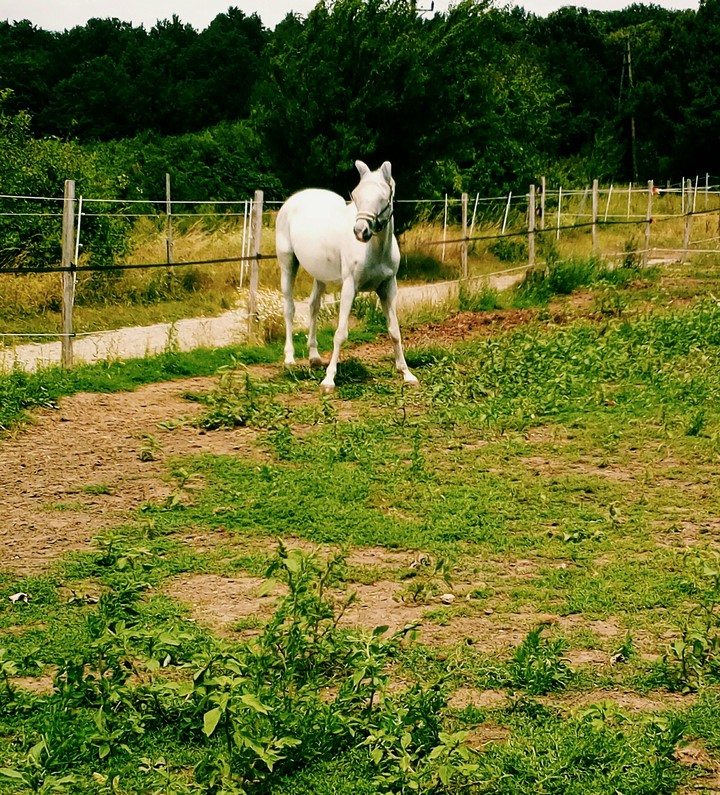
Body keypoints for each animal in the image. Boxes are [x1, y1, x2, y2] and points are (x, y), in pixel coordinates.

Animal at [275, 160, 418, 393]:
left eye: (383, 197)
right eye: (357, 195)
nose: (360, 231)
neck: (375, 250)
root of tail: (294, 199)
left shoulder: (388, 288)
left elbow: (394, 331)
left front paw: (406, 373)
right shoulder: (350, 287)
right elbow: (340, 333)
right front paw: (329, 380)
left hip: (320, 275)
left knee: (313, 306)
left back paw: (314, 356)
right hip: (287, 264)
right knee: (289, 308)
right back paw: (289, 358)